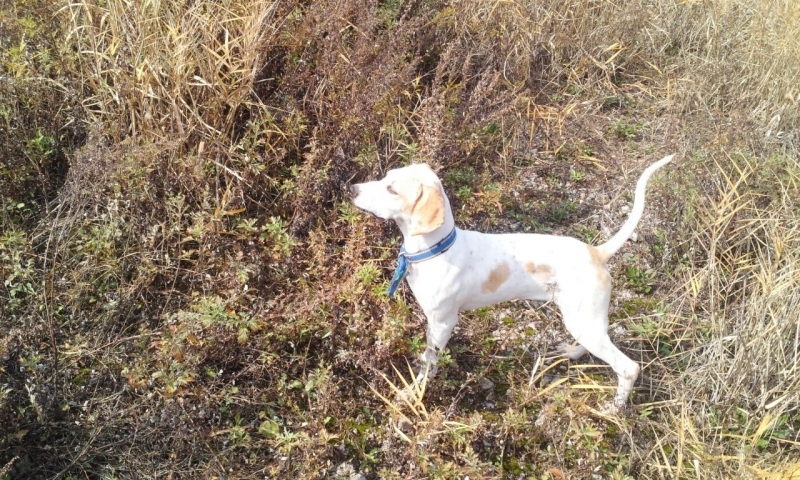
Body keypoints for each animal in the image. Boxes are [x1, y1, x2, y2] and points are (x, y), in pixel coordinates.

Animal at [349, 155, 673, 412]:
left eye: (391, 188)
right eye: (386, 176)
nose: (352, 188)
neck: (436, 249)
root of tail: (597, 252)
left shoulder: (442, 322)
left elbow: (429, 361)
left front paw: (413, 392)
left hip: (584, 321)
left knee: (628, 367)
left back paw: (614, 408)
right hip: (582, 319)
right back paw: (568, 354)